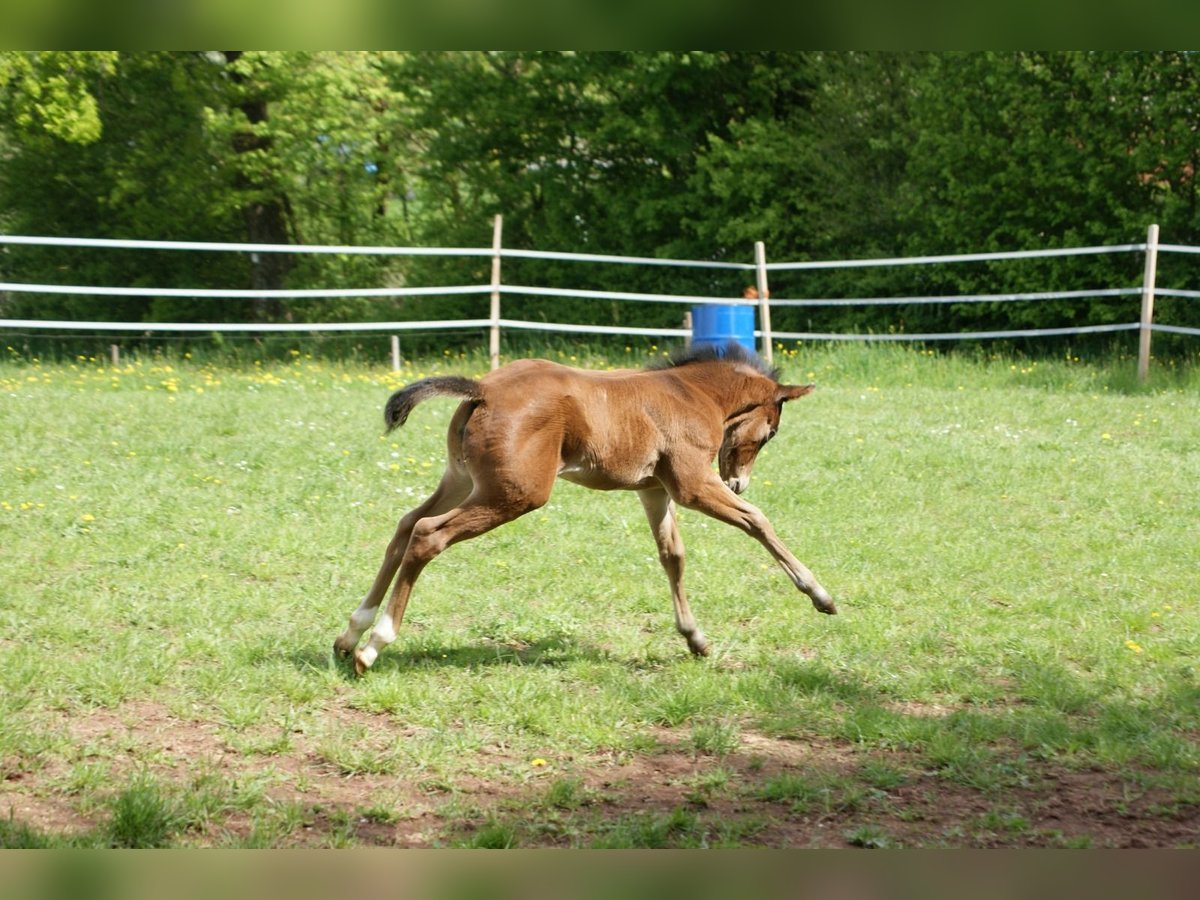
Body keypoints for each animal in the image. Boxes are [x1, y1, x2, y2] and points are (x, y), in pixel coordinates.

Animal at [334, 342, 836, 675]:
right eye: (770, 432)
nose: (738, 482)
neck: (693, 394)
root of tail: (483, 389)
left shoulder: (654, 490)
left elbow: (672, 555)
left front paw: (695, 639)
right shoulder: (692, 484)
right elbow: (757, 521)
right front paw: (820, 595)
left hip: (462, 480)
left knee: (405, 526)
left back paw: (351, 632)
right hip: (516, 493)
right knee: (427, 533)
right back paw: (374, 645)